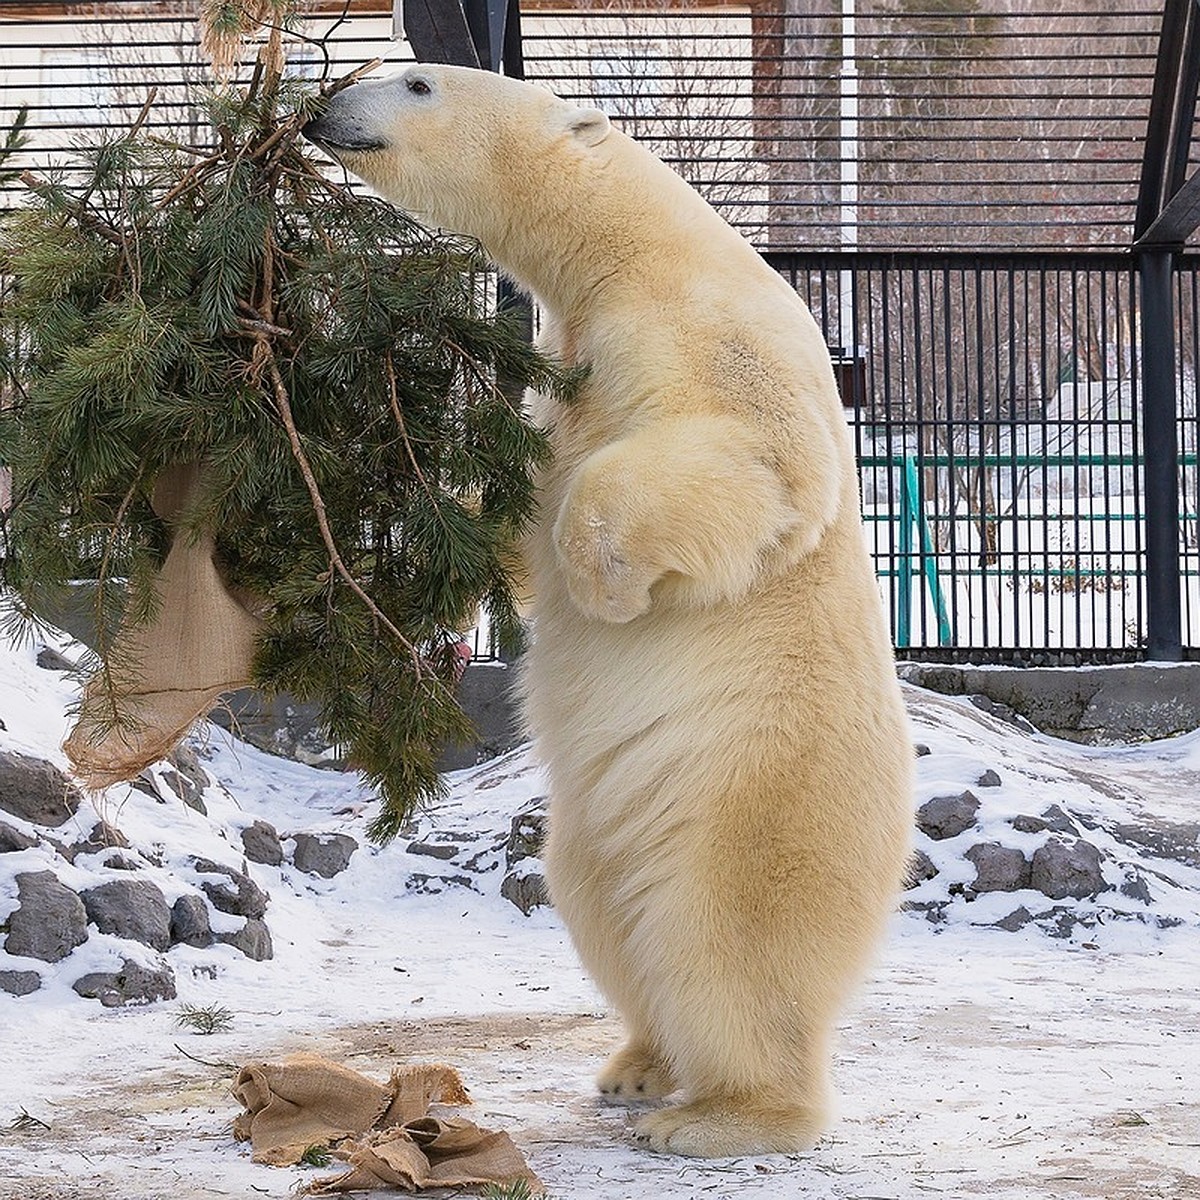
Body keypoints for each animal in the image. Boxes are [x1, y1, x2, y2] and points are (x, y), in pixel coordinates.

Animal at [304, 68, 912, 1161]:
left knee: (723, 939)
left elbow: (750, 465)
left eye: (417, 79)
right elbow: (516, 515)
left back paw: (721, 1114)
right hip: (598, 830)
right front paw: (427, 547)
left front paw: (609, 588)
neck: (633, 255)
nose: (324, 105)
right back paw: (637, 1066)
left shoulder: (711, 337)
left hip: (757, 792)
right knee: (600, 907)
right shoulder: (562, 371)